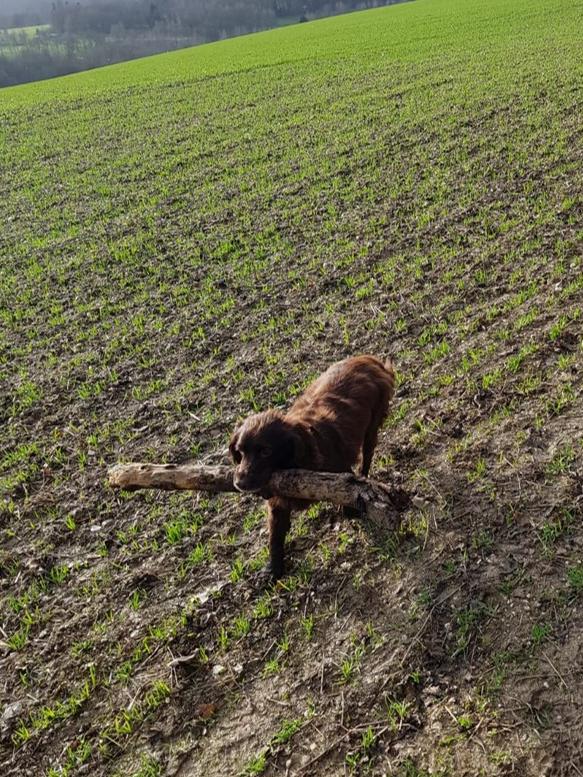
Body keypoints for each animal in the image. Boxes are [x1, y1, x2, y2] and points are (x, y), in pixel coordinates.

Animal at [229, 354, 396, 580]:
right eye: (240, 451)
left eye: (265, 451)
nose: (240, 483)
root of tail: (368, 359)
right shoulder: (277, 503)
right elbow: (274, 538)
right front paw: (273, 569)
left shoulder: (341, 472)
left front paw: (351, 509)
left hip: (372, 426)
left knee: (367, 456)